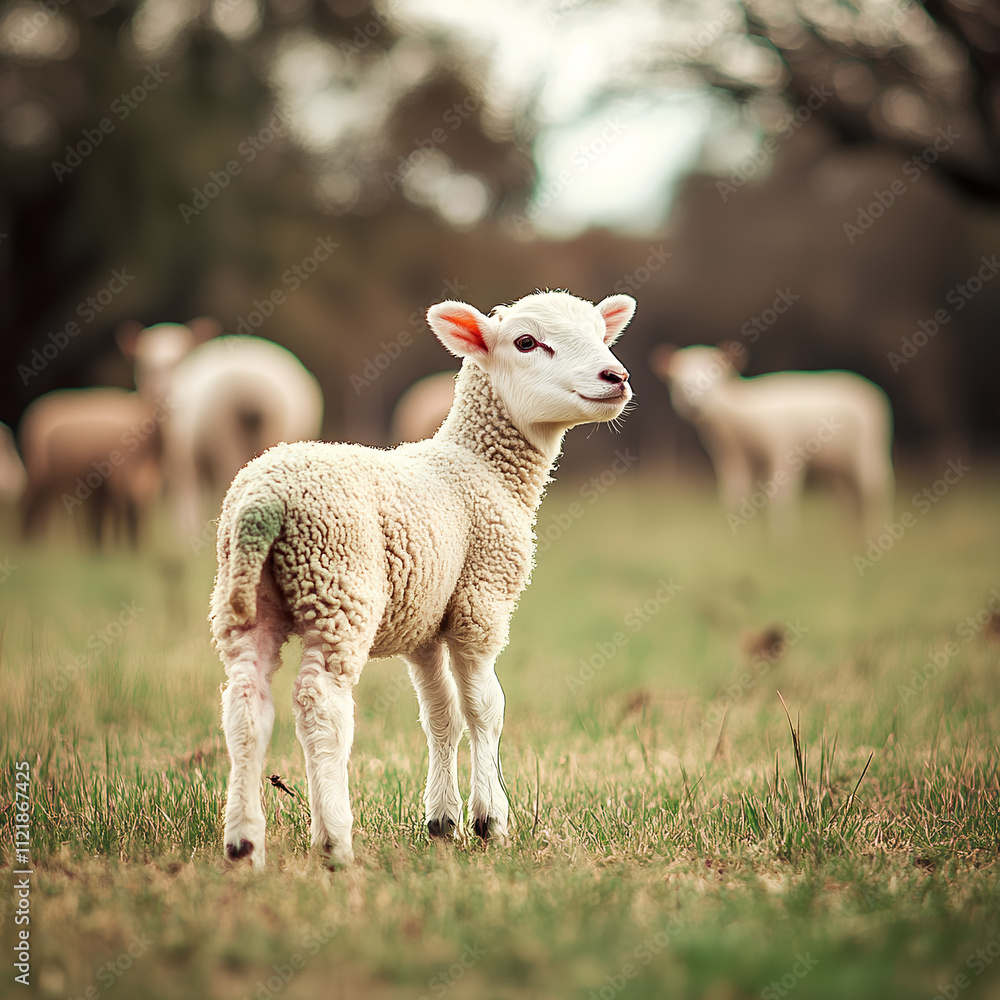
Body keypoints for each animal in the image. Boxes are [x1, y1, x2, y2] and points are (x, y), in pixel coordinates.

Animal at [125, 325, 324, 537]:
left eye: (179, 361)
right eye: (145, 364)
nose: (161, 389)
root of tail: (254, 389)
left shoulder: (184, 457)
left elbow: (187, 496)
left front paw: (186, 534)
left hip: (224, 437)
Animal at [211, 289, 636, 869]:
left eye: (600, 333)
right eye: (526, 342)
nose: (616, 376)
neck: (479, 465)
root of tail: (265, 501)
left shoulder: (425, 624)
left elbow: (442, 716)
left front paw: (441, 821)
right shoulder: (482, 599)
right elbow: (486, 709)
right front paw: (490, 820)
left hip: (248, 594)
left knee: (245, 701)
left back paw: (244, 844)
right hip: (338, 583)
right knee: (321, 703)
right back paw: (334, 840)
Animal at [651, 343, 893, 538]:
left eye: (715, 377)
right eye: (677, 380)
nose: (693, 404)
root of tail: (866, 386)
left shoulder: (785, 451)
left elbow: (779, 498)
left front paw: (780, 539)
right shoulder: (732, 458)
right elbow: (736, 495)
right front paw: (740, 536)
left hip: (870, 449)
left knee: (874, 490)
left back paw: (874, 535)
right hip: (836, 466)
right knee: (846, 498)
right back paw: (845, 537)